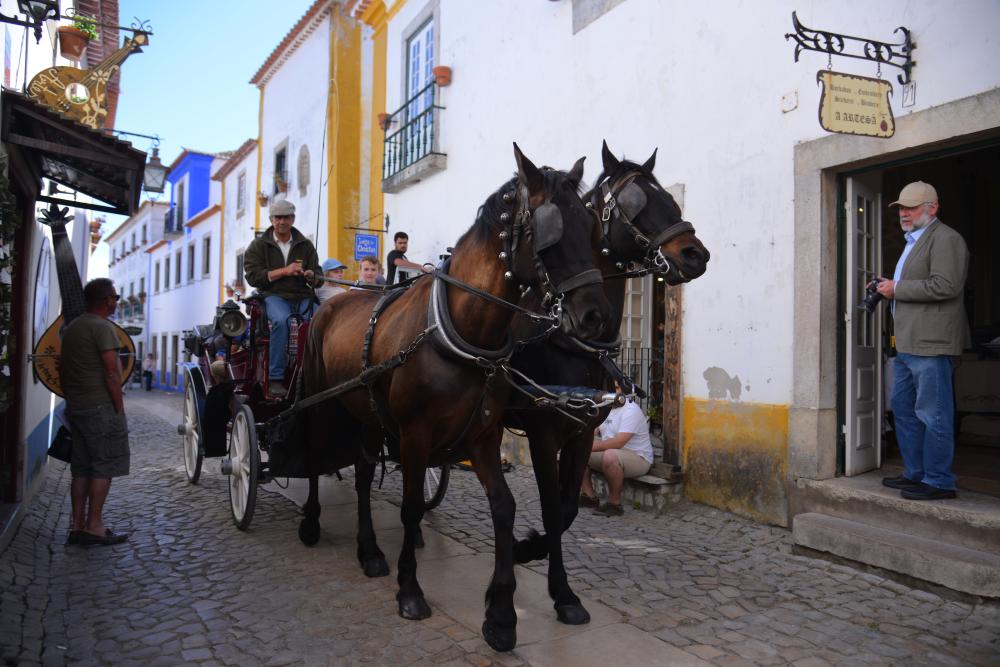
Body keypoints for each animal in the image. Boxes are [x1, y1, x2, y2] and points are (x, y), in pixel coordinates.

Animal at [296, 146, 608, 652]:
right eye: (553, 233)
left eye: (592, 227)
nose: (595, 315)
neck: (462, 330)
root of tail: (329, 303)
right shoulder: (415, 436)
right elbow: (408, 508)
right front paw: (410, 591)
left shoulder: (482, 436)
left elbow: (505, 507)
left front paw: (501, 614)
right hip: (320, 402)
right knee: (311, 452)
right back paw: (311, 522)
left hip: (368, 416)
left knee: (361, 473)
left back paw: (369, 550)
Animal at [508, 142, 712, 628]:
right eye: (637, 203)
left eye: (670, 199)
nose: (696, 254)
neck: (568, 339)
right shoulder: (544, 435)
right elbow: (551, 507)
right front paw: (558, 588)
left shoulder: (583, 435)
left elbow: (566, 509)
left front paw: (531, 554)